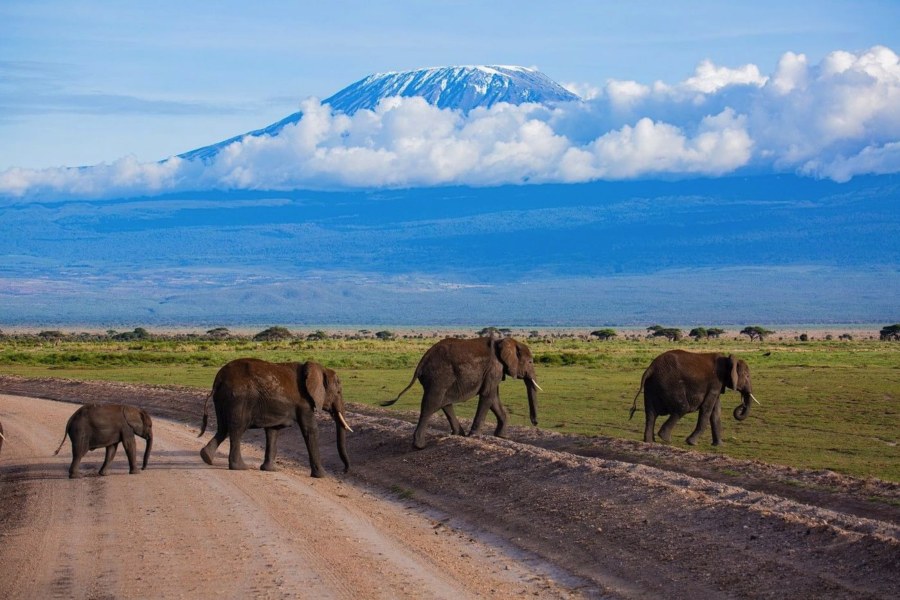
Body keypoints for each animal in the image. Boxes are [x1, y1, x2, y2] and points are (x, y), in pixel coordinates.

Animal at [199, 358, 352, 477]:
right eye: (338, 392)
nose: (344, 470)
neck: (317, 368)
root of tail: (219, 378)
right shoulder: (304, 403)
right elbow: (311, 430)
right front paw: (322, 476)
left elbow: (273, 431)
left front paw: (270, 470)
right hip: (239, 399)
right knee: (237, 429)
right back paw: (240, 467)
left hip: (223, 398)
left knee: (223, 428)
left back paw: (206, 457)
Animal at [381, 336, 542, 449]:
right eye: (530, 362)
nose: (535, 422)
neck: (504, 341)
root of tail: (421, 362)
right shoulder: (493, 368)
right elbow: (488, 396)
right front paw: (474, 436)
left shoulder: (494, 372)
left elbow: (494, 397)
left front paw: (502, 437)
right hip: (439, 376)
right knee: (431, 404)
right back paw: (419, 446)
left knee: (444, 402)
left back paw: (459, 434)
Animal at [629, 349, 759, 446]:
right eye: (747, 376)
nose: (742, 404)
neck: (728, 360)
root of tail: (650, 368)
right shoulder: (715, 383)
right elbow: (707, 409)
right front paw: (692, 443)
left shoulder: (717, 386)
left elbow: (715, 412)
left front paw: (719, 445)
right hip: (669, 384)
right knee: (682, 408)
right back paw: (665, 438)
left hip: (652, 385)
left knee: (651, 414)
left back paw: (650, 442)